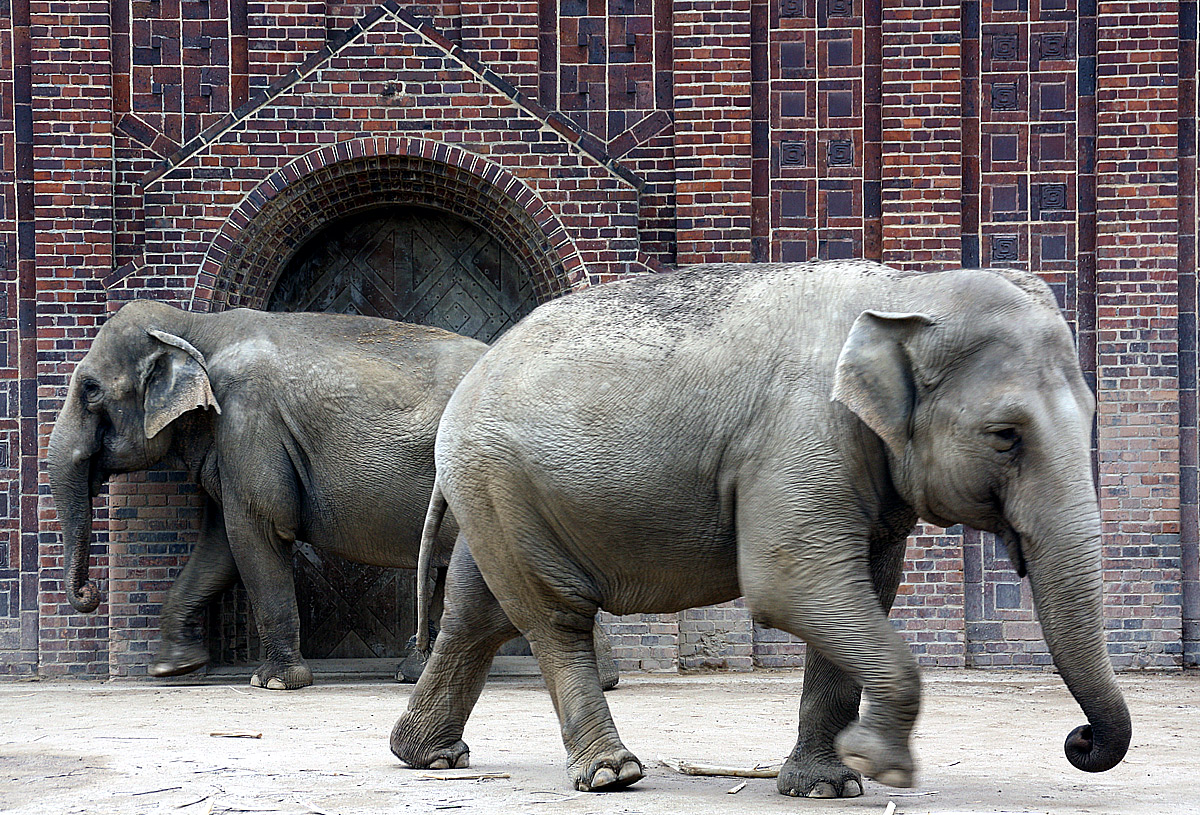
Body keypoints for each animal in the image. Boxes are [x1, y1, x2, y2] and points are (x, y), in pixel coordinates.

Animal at [46, 302, 619, 691]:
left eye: (90, 390)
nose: (89, 593)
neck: (194, 325)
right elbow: (220, 544)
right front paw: (172, 668)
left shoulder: (250, 421)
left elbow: (256, 531)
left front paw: (274, 683)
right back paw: (411, 675)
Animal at [388, 261, 1128, 796]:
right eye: (1006, 435)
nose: (1079, 741)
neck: (905, 290)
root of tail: (472, 377)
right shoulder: (799, 438)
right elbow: (793, 585)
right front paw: (880, 763)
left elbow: (863, 591)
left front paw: (828, 785)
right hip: (498, 479)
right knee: (553, 615)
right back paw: (610, 774)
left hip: (496, 492)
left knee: (478, 614)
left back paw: (427, 755)